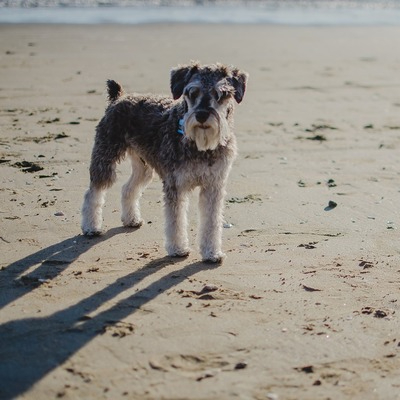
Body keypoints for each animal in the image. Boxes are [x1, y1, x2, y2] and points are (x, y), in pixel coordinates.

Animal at [82, 61, 247, 262]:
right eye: (192, 93)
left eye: (220, 94)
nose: (201, 115)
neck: (200, 145)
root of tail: (118, 98)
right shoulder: (175, 184)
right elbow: (175, 221)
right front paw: (178, 249)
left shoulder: (213, 186)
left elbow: (212, 221)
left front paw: (211, 253)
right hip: (105, 158)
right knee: (93, 192)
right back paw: (91, 227)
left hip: (143, 167)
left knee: (128, 188)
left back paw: (131, 219)